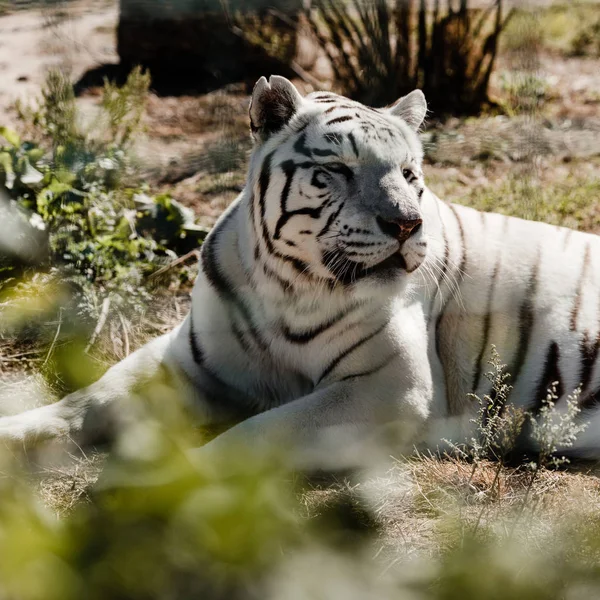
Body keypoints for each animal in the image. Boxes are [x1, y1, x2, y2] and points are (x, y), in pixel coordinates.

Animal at [1, 75, 600, 466]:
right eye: (338, 169)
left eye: (409, 174)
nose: (406, 224)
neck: (281, 285)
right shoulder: (184, 360)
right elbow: (91, 396)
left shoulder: (389, 385)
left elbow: (254, 434)